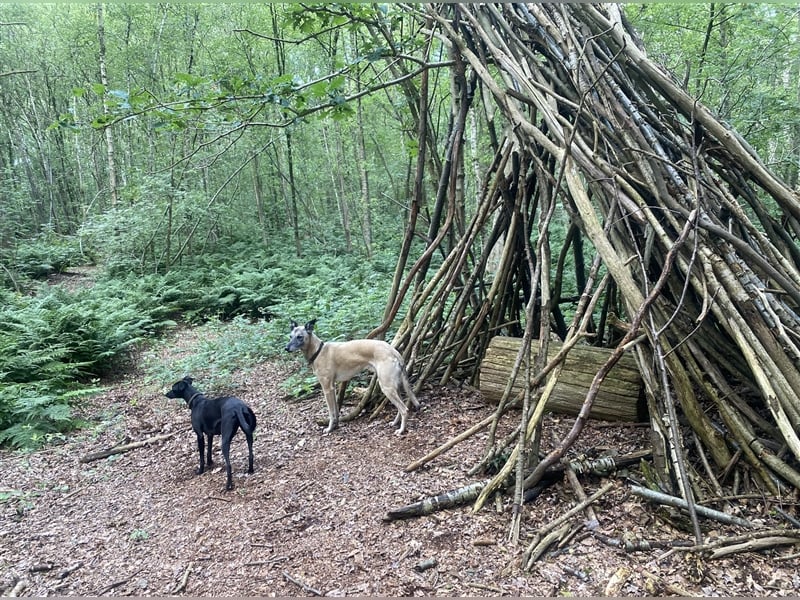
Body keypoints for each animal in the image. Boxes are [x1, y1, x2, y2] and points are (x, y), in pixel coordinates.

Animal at [286, 322, 422, 434]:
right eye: (290, 336)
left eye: (299, 336)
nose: (286, 348)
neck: (318, 351)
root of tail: (394, 351)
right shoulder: (333, 387)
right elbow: (336, 411)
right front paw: (335, 426)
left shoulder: (327, 388)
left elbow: (331, 412)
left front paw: (329, 429)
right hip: (394, 387)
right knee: (401, 407)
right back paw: (395, 423)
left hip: (387, 388)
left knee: (404, 409)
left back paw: (401, 430)